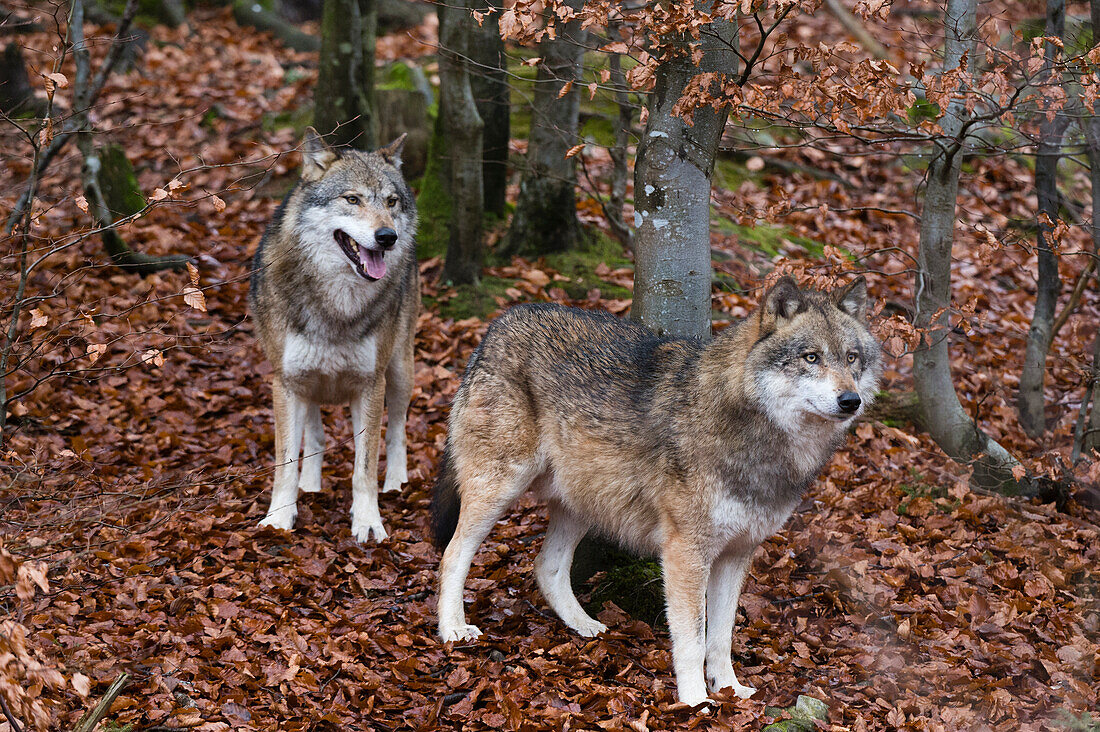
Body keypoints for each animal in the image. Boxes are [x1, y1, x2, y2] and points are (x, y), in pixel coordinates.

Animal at [250, 127, 420, 541]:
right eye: (352, 199)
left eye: (391, 201)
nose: (387, 236)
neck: (336, 306)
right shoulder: (286, 383)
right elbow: (286, 463)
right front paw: (279, 518)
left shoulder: (370, 385)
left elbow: (364, 469)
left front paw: (369, 522)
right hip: (309, 385)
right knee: (315, 437)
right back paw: (311, 486)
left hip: (400, 371)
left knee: (397, 432)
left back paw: (397, 483)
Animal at [433, 274, 880, 704]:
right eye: (811, 357)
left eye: (851, 358)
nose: (851, 400)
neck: (758, 435)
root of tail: (501, 322)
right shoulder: (686, 551)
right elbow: (693, 640)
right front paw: (696, 701)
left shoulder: (737, 552)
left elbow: (721, 638)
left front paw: (730, 690)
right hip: (500, 487)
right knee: (453, 554)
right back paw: (453, 629)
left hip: (583, 502)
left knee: (547, 567)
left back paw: (585, 626)